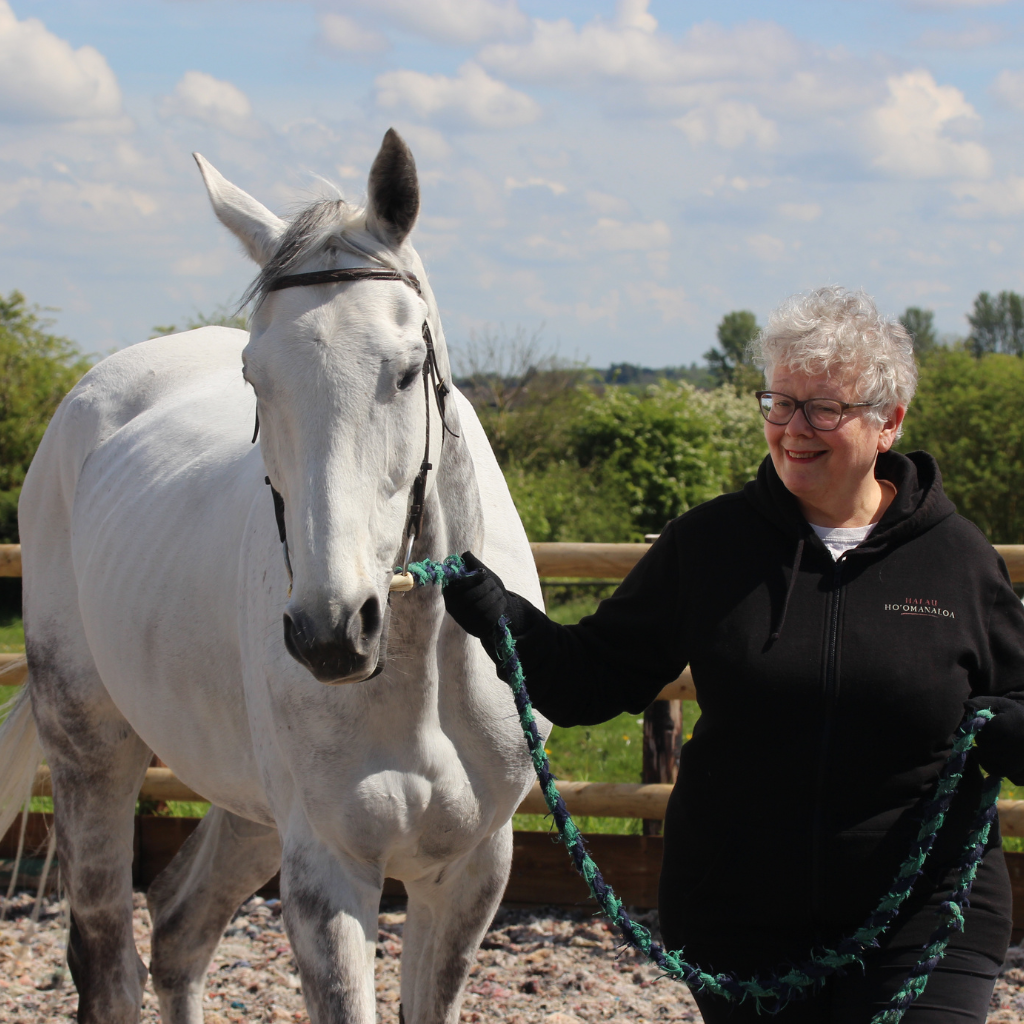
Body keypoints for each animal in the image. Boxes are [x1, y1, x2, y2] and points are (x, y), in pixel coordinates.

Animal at [0, 128, 548, 1024]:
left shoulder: (469, 872)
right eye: (256, 376)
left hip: (251, 809)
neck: (423, 671)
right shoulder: (328, 875)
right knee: (111, 961)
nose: (332, 629)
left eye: (406, 370)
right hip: (90, 750)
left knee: (180, 928)